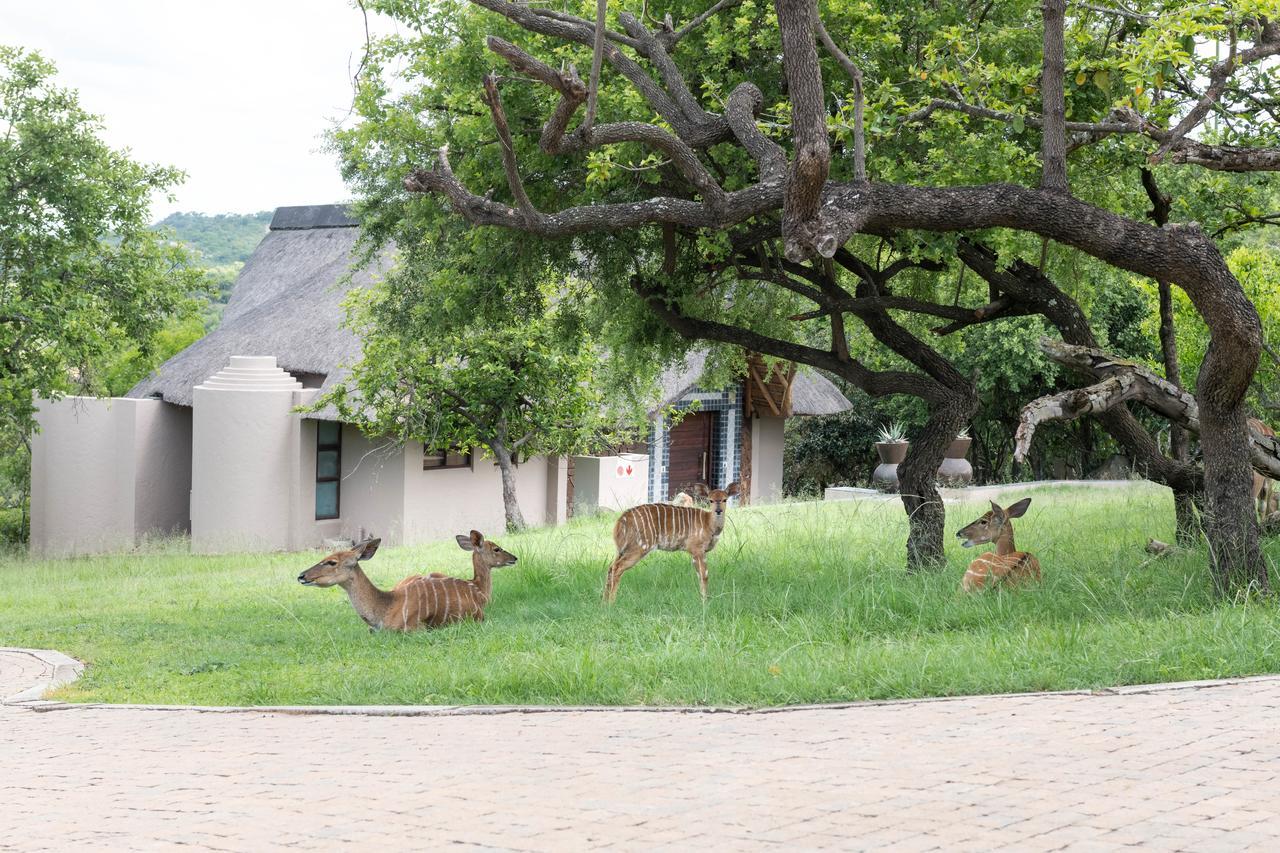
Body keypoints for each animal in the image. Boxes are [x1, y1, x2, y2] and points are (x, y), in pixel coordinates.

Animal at [606, 481, 747, 601]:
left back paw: (604, 602)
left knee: (611, 567)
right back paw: (611, 602)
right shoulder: (696, 549)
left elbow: (701, 575)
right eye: (710, 500)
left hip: (621, 549)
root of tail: (621, 521)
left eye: (725, 499)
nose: (718, 510)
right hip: (640, 547)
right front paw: (704, 601)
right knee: (617, 568)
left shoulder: (699, 552)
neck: (709, 524)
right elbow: (704, 575)